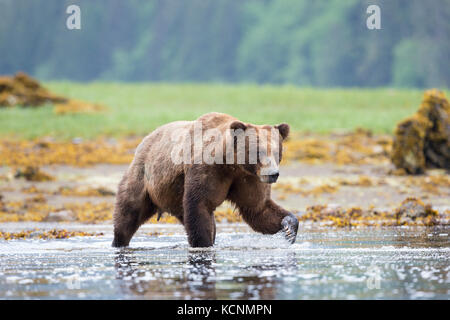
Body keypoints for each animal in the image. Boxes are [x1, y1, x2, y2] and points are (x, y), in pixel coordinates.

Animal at [111, 112, 298, 248]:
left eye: (277, 152)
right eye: (258, 152)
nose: (273, 174)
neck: (231, 163)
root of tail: (145, 140)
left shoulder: (248, 178)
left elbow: (258, 208)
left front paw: (289, 227)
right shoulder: (207, 169)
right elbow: (200, 204)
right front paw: (203, 244)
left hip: (173, 197)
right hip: (144, 176)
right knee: (128, 212)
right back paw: (118, 242)